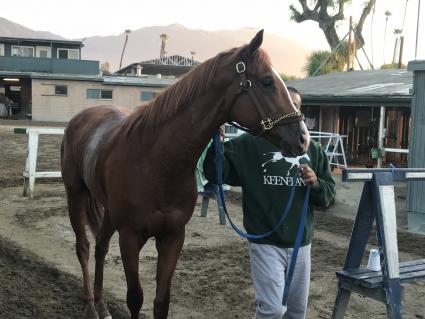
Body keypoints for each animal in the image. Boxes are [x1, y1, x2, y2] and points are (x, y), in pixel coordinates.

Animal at [60, 30, 308, 319]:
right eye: (267, 81)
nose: (303, 138)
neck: (157, 161)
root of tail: (82, 117)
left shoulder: (173, 236)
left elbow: (161, 301)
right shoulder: (130, 237)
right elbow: (135, 298)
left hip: (109, 210)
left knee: (100, 246)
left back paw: (101, 305)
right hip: (75, 195)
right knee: (84, 248)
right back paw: (90, 306)